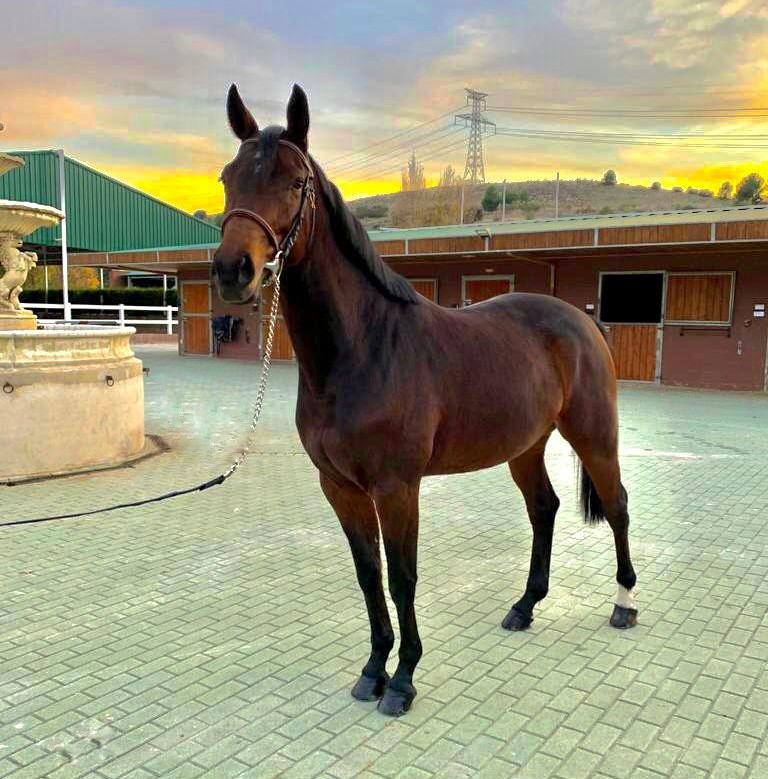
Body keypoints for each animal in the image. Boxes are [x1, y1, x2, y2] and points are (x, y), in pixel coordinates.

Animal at [213, 83, 638, 717]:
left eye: (293, 182)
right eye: (227, 178)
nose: (232, 270)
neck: (361, 349)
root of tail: (581, 320)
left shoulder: (396, 487)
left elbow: (402, 577)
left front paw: (404, 679)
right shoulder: (339, 487)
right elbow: (368, 577)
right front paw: (372, 670)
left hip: (593, 436)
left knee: (617, 506)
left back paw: (625, 604)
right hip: (525, 446)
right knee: (545, 509)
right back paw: (524, 607)